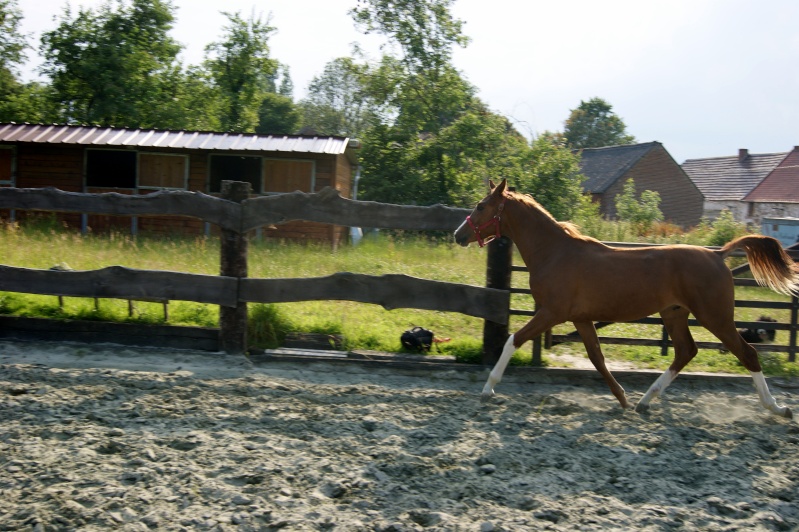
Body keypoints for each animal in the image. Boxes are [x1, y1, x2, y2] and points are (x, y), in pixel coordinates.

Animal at [454, 181, 796, 418]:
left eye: (481, 206)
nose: (458, 235)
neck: (554, 253)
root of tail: (719, 255)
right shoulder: (580, 318)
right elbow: (597, 358)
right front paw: (622, 399)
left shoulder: (552, 312)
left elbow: (513, 340)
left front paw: (487, 389)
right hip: (674, 313)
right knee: (686, 351)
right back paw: (644, 401)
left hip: (715, 316)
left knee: (747, 353)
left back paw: (777, 409)